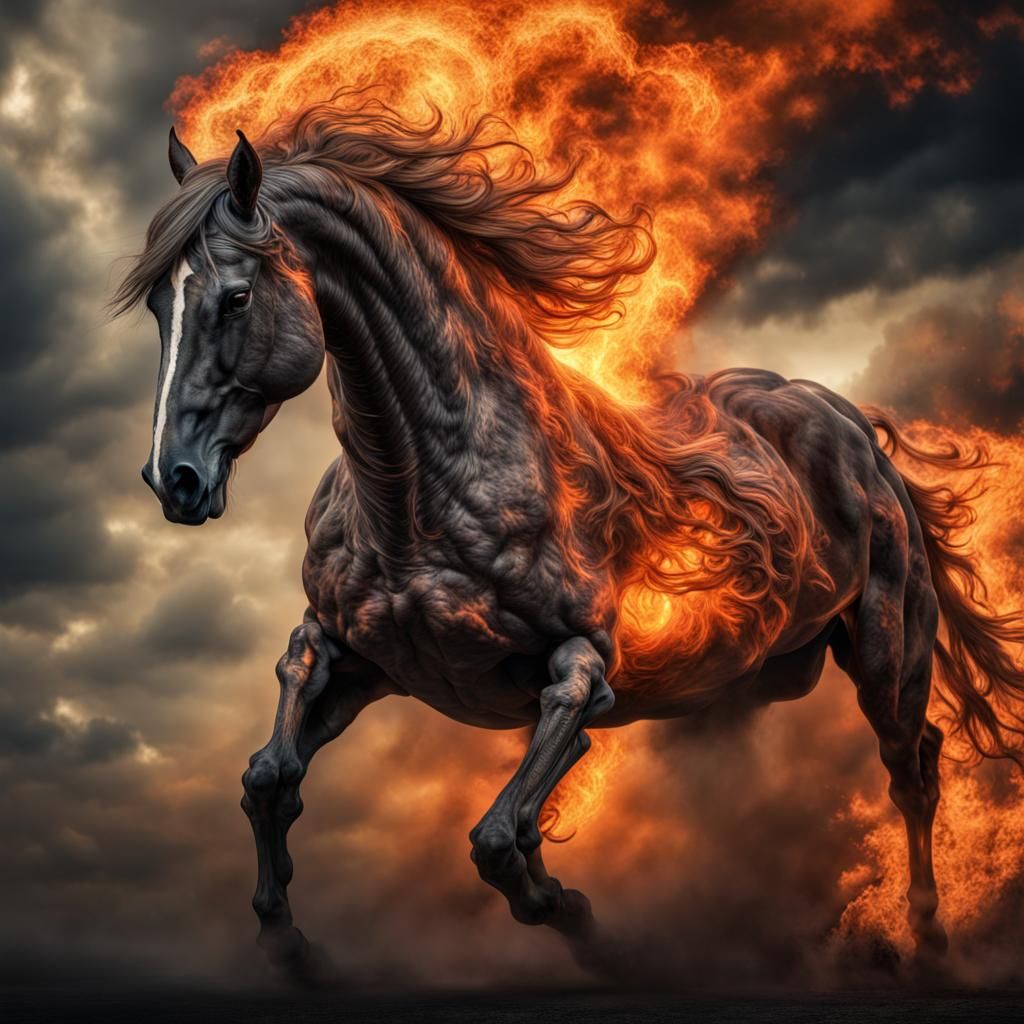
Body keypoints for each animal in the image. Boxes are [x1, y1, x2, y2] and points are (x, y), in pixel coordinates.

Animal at [115, 97, 1024, 979]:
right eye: (159, 303)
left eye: (234, 297)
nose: (174, 479)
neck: (424, 493)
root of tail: (854, 427)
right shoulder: (359, 658)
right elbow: (272, 775)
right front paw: (292, 948)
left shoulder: (581, 666)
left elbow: (497, 837)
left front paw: (589, 927)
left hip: (887, 651)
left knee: (912, 771)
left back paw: (929, 940)